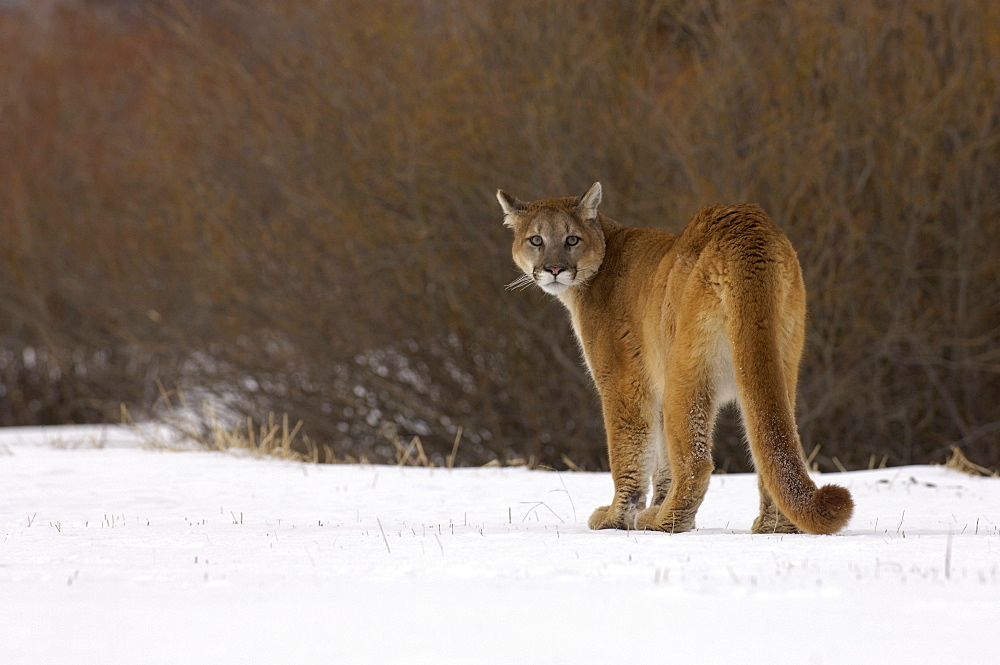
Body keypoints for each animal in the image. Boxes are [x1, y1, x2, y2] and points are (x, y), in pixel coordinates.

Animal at [498, 182, 852, 536]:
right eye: (536, 240)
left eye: (571, 239)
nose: (554, 269)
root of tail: (747, 228)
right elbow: (663, 461)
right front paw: (650, 506)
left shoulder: (623, 383)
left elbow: (630, 451)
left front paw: (618, 518)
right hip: (780, 363)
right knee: (770, 438)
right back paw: (773, 527)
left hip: (683, 374)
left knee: (697, 462)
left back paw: (665, 522)